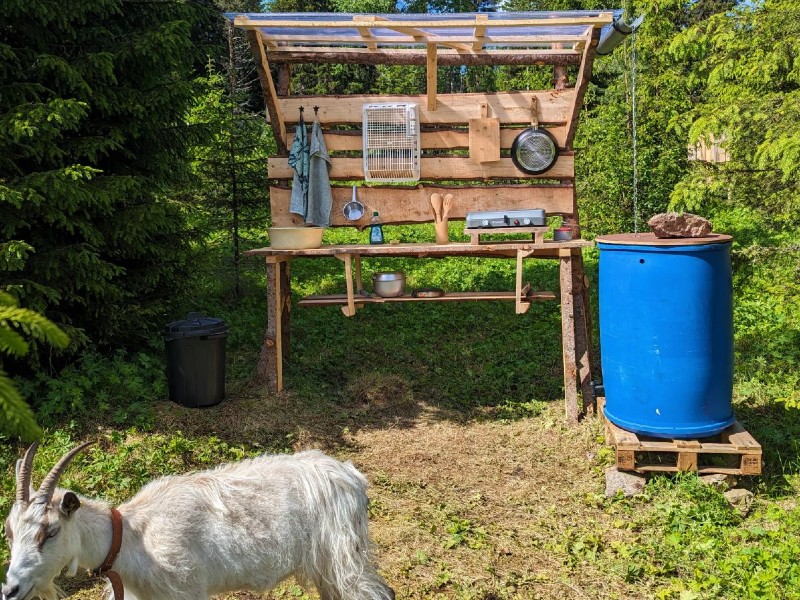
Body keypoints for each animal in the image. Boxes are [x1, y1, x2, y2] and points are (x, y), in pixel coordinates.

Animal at [3, 440, 396, 600]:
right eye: (9, 532)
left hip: (345, 556)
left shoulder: (186, 588)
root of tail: (352, 477)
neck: (132, 536)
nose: (10, 590)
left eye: (50, 531)